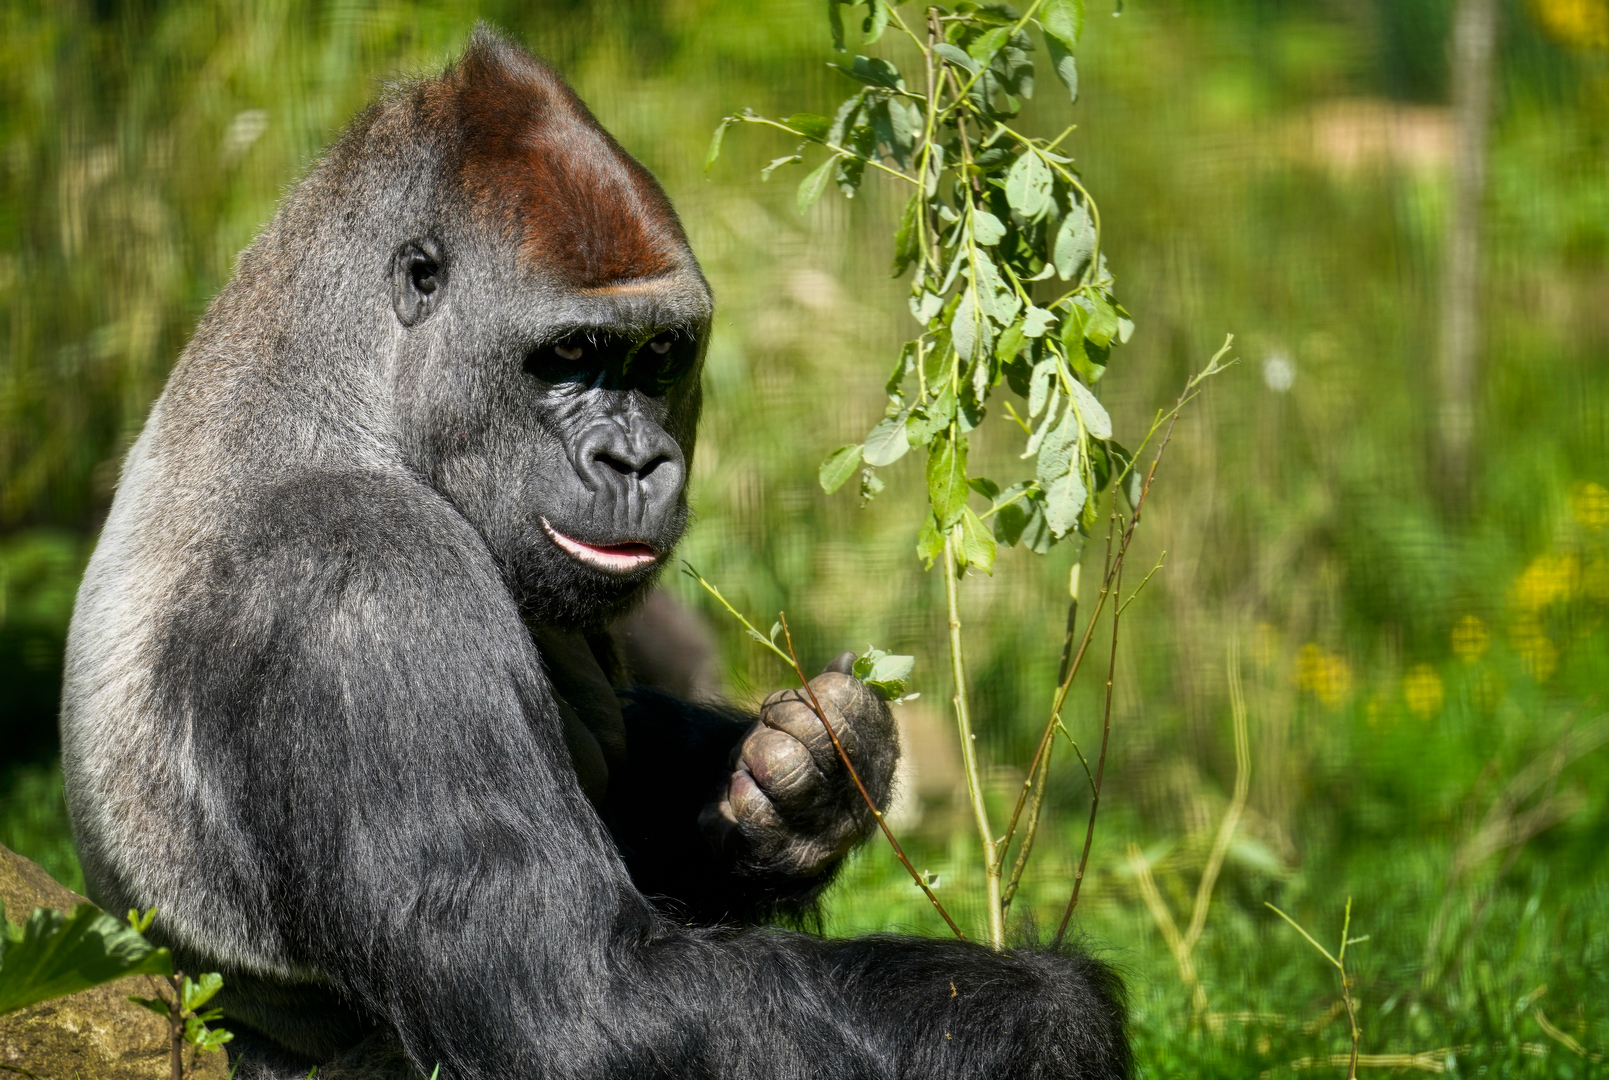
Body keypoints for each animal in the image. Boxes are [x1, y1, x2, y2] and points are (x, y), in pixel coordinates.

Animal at [59, 25, 1132, 1080]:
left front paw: (810, 782)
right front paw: (1054, 1015)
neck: (348, 387)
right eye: (570, 354)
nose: (636, 460)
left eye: (660, 354)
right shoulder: (361, 579)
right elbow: (585, 1007)